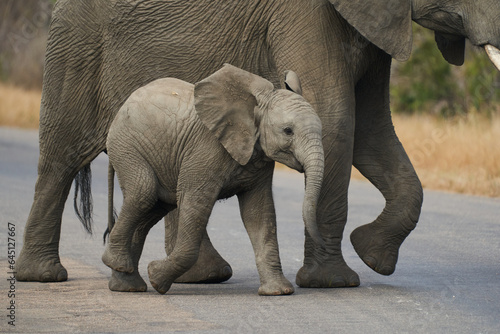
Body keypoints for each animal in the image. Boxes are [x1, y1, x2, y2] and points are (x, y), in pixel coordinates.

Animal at [103, 63, 326, 294]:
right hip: (128, 145)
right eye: (288, 131)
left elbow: (258, 213)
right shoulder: (206, 149)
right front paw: (156, 277)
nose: (323, 242)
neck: (254, 104)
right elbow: (196, 204)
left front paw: (278, 292)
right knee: (143, 193)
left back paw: (126, 284)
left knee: (153, 207)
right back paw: (118, 265)